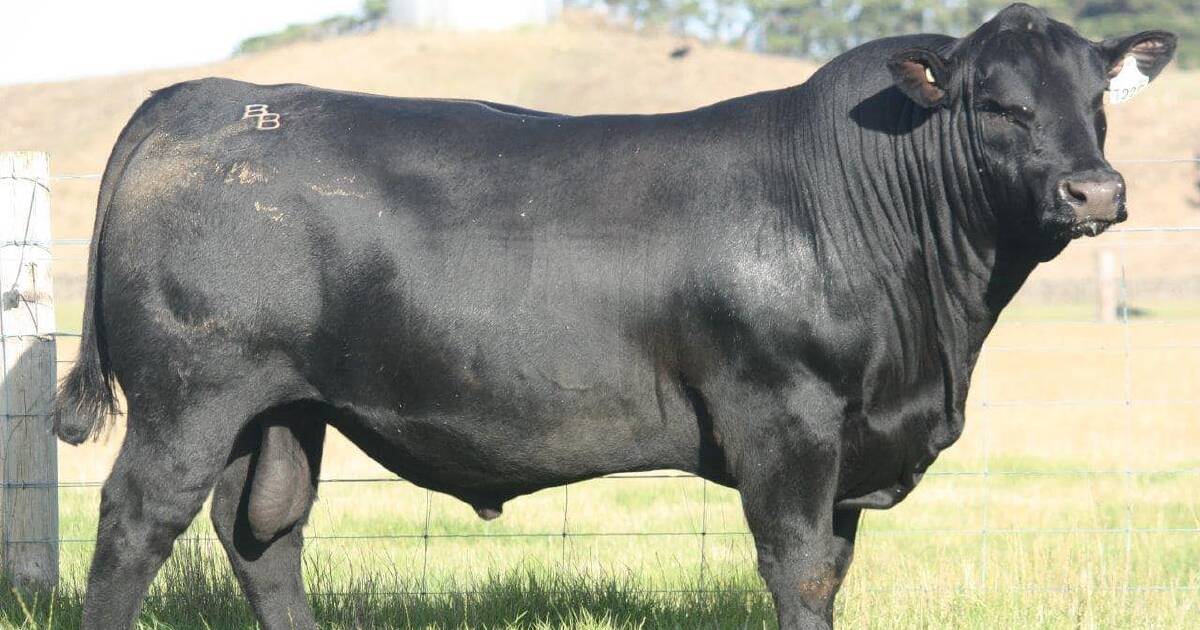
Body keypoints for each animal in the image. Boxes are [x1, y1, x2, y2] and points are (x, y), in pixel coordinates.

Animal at [54, 4, 1171, 628]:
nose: (1096, 191)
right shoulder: (786, 417)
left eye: (1096, 101)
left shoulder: (855, 438)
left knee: (266, 535)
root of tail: (206, 96)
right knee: (137, 525)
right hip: (190, 395)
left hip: (282, 406)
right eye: (999, 104)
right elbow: (801, 574)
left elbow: (835, 569)